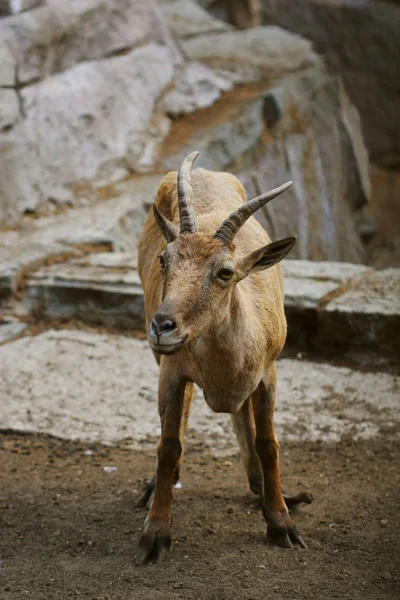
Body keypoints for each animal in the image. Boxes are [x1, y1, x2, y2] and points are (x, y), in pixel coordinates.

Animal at [137, 152, 312, 564]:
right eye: (164, 259)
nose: (162, 326)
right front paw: (155, 535)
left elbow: (268, 443)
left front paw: (282, 523)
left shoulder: (268, 373)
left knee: (242, 416)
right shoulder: (172, 372)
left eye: (225, 272)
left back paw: (263, 488)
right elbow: (168, 446)